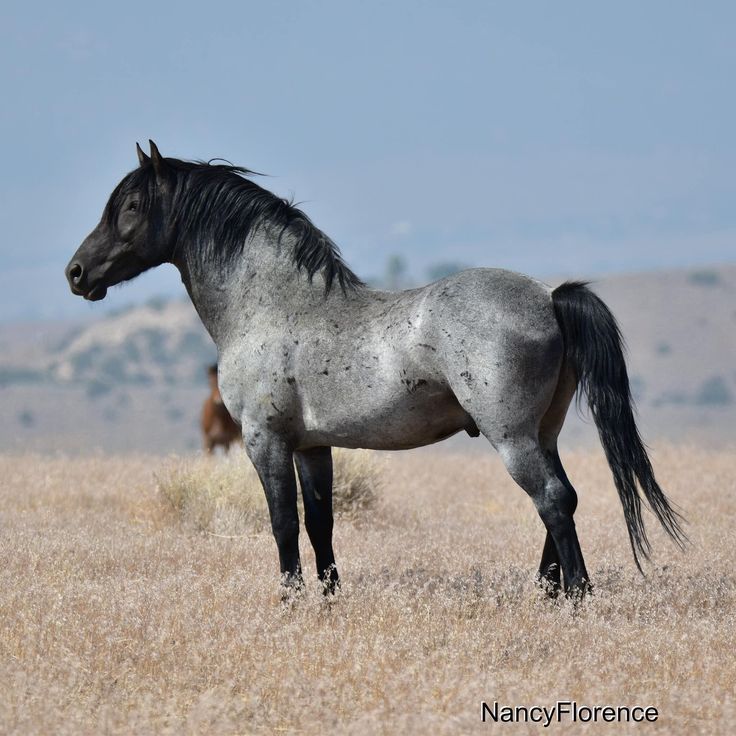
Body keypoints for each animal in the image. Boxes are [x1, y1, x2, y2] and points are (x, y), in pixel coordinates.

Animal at [66, 142, 688, 600]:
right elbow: (320, 522)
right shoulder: (311, 446)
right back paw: (548, 593)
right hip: (544, 432)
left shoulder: (264, 441)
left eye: (129, 207)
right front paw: (329, 597)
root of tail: (549, 297)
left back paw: (577, 595)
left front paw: (290, 600)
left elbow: (282, 521)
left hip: (511, 436)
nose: (76, 273)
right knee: (563, 499)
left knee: (554, 500)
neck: (273, 304)